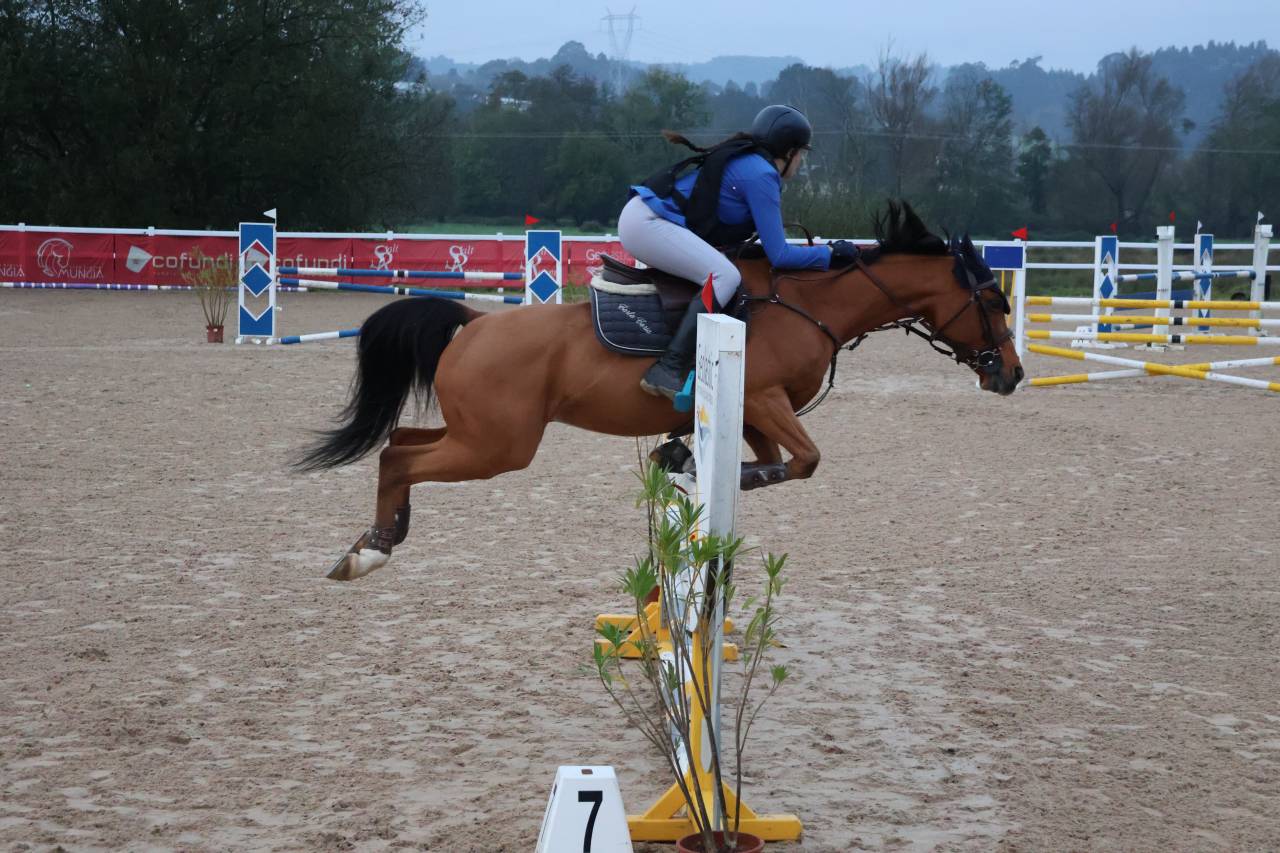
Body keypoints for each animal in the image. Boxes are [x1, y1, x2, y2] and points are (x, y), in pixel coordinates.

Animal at [299, 202, 1024, 580]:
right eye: (993, 300)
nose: (1012, 374)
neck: (810, 305)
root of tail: (473, 324)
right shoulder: (764, 399)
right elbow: (806, 459)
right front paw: (682, 460)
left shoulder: (754, 413)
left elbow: (776, 463)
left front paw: (679, 457)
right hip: (498, 445)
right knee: (401, 456)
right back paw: (371, 549)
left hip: (482, 433)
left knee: (398, 442)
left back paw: (374, 540)